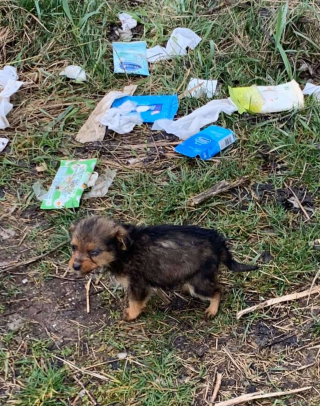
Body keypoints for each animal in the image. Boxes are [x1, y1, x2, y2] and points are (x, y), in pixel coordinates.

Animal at [69, 217, 258, 322]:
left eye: (94, 252)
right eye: (73, 247)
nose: (74, 266)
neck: (123, 252)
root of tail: (218, 242)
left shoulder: (137, 284)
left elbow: (134, 302)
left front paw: (130, 315)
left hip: (199, 281)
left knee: (218, 289)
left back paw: (212, 310)